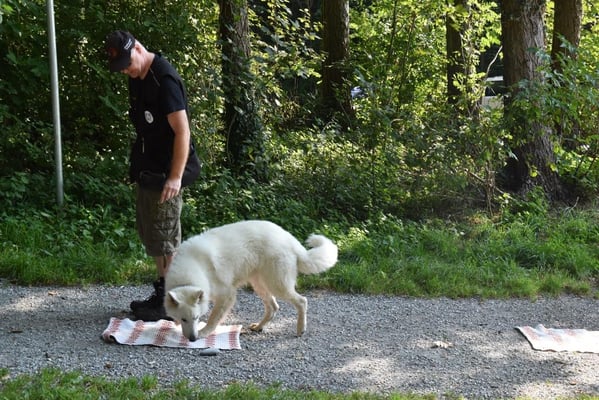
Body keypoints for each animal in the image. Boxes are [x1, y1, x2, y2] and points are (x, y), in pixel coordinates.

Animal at [164, 220, 338, 341]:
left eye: (196, 318)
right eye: (184, 319)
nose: (192, 339)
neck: (189, 275)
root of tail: (291, 240)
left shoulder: (227, 295)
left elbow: (213, 319)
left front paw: (204, 332)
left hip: (277, 285)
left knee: (302, 301)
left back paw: (300, 329)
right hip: (260, 285)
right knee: (273, 308)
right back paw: (259, 327)